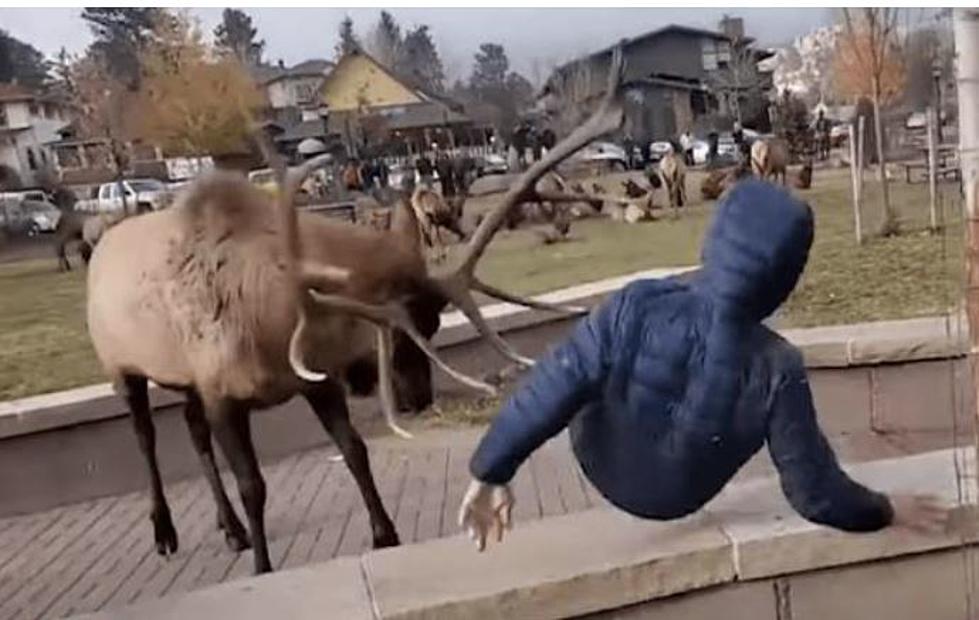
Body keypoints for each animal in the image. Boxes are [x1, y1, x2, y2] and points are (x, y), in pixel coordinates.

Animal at [88, 48, 632, 576]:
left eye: (434, 324)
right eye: (397, 334)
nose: (417, 398)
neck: (273, 323)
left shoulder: (312, 379)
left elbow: (354, 451)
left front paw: (385, 534)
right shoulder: (221, 390)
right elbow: (252, 484)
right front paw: (263, 566)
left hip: (180, 378)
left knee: (191, 429)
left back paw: (230, 529)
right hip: (122, 366)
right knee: (146, 438)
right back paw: (166, 532)